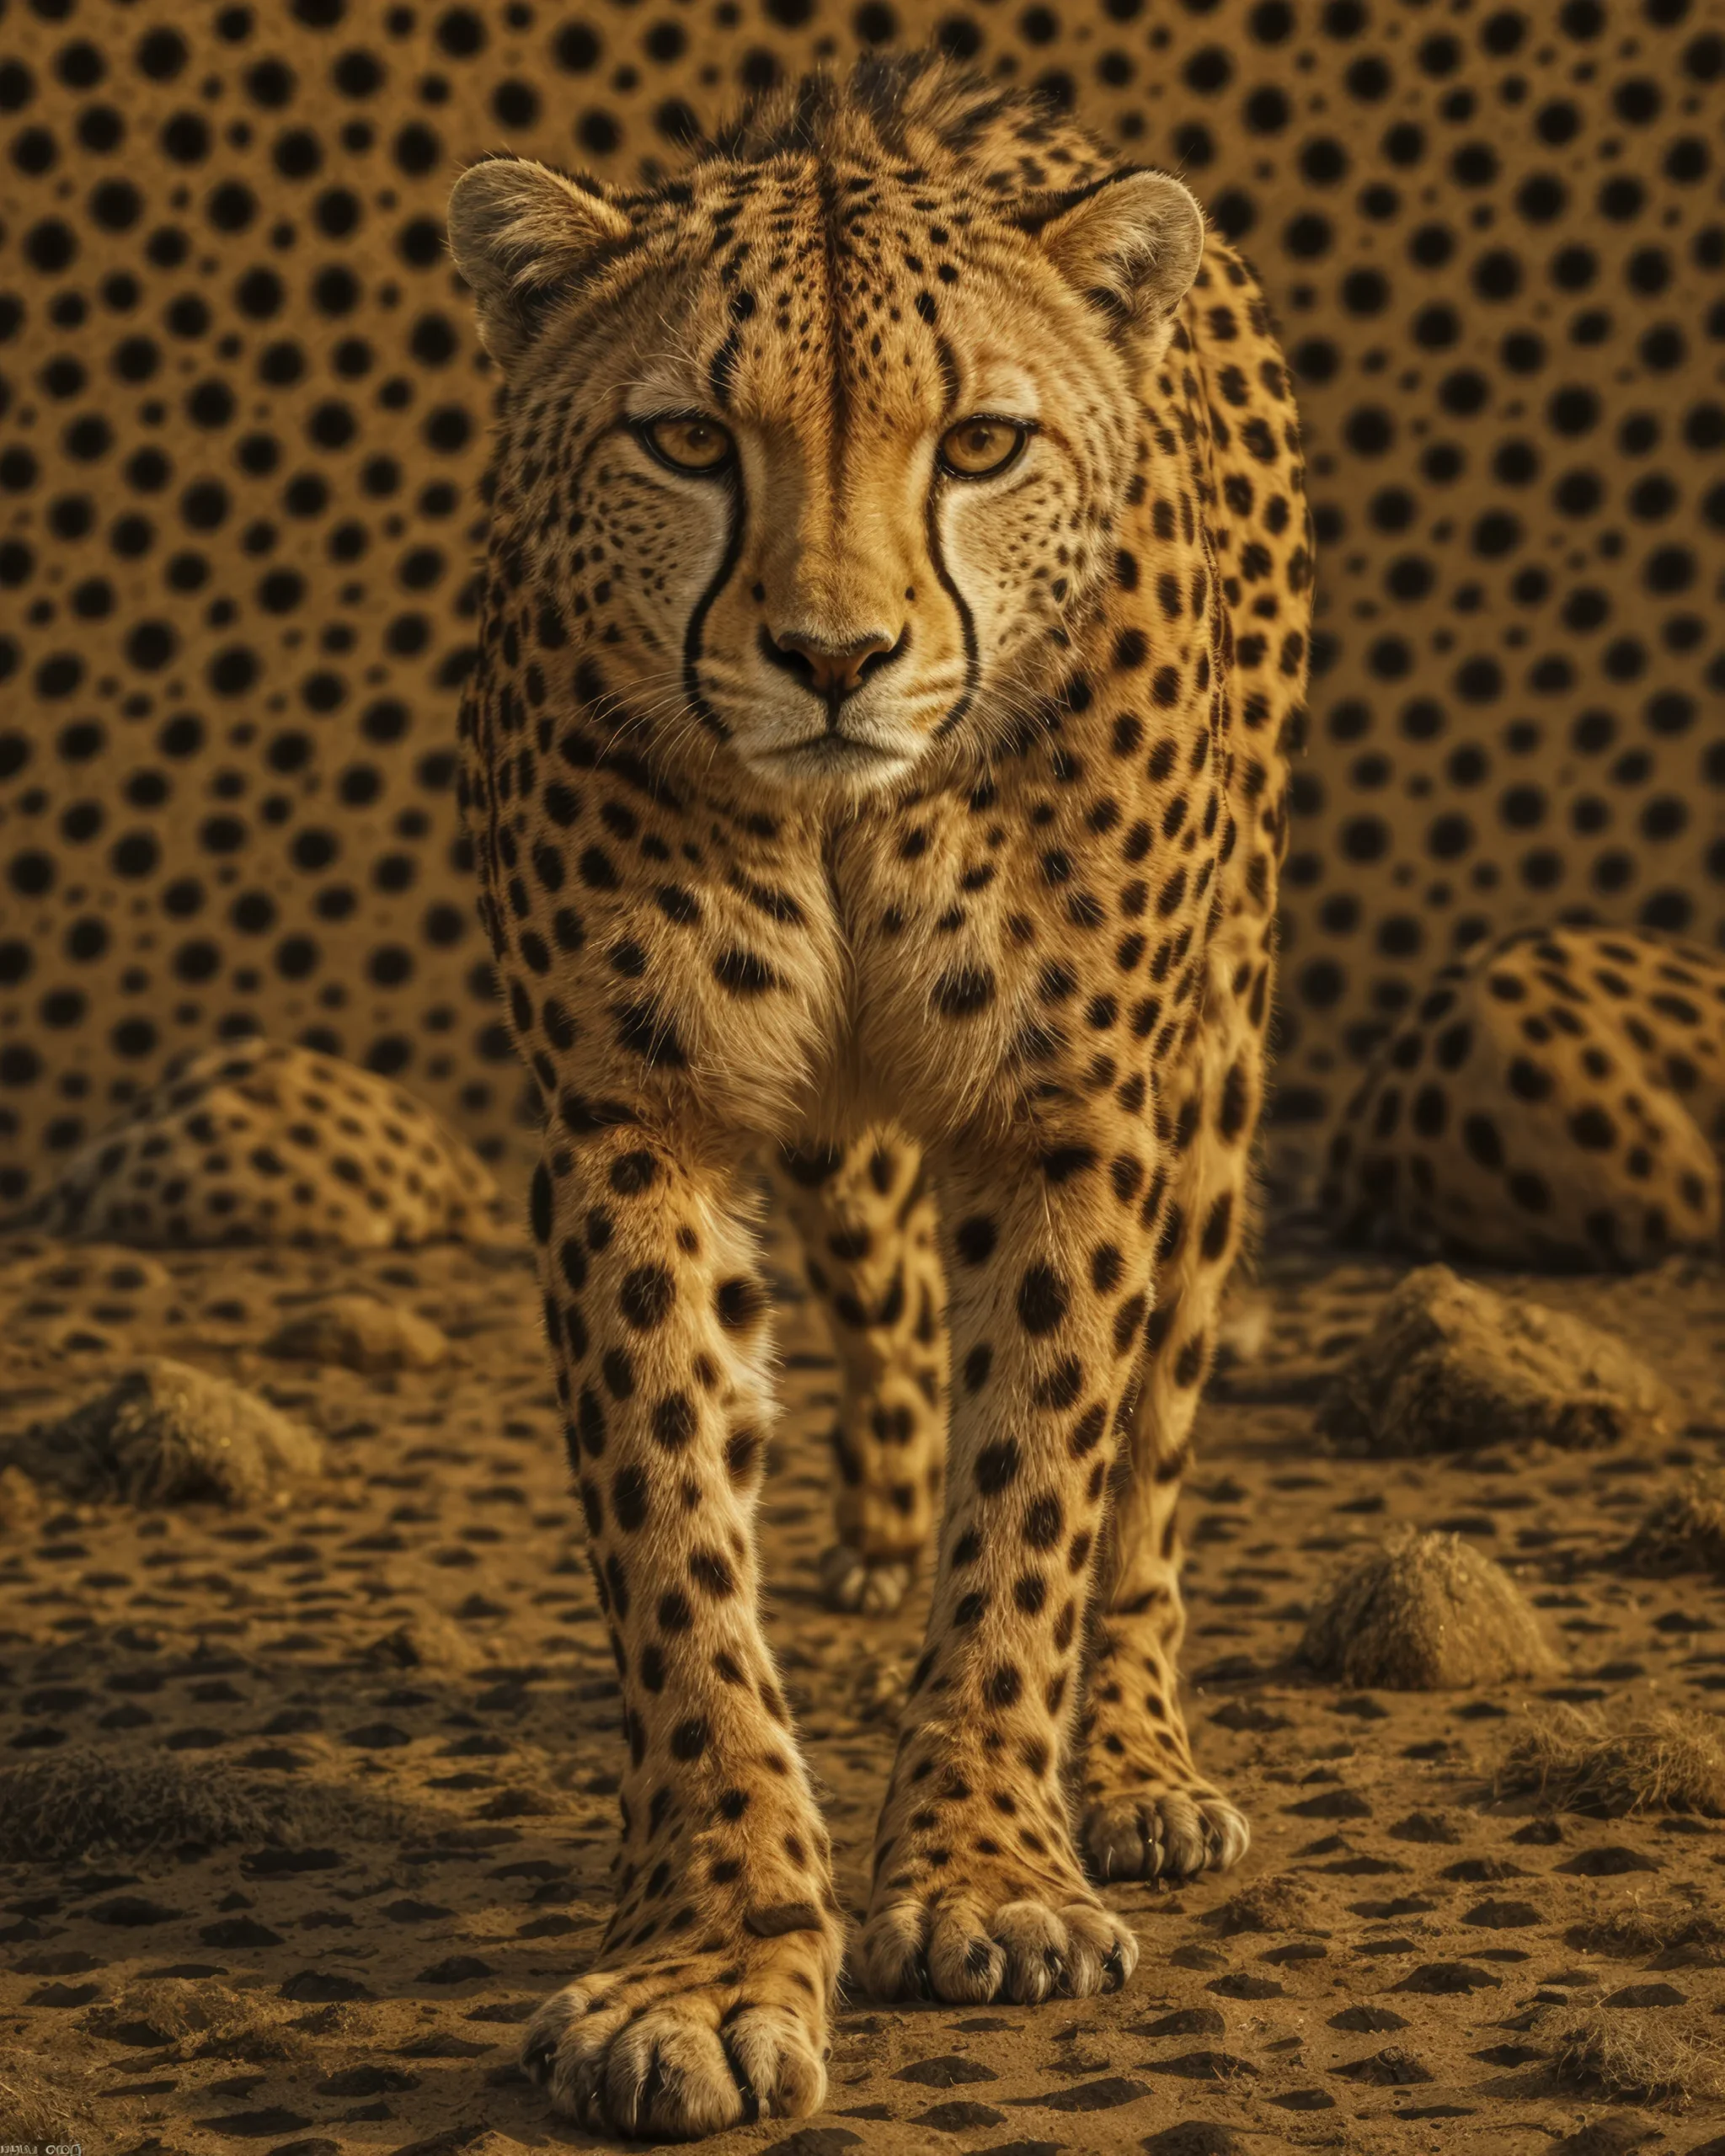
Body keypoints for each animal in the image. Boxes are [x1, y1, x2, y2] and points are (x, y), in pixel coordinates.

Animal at [447, 47, 1310, 2141]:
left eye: (981, 445)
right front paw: (709, 1951)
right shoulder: (635, 1116)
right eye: (688, 439)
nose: (832, 656)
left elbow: (1042, 1493)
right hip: (839, 1131)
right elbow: (678, 1546)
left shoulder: (1071, 1112)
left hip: (1213, 1065)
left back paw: (1133, 1761)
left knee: (1148, 1470)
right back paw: (869, 1552)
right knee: (886, 1296)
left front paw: (992, 1865)